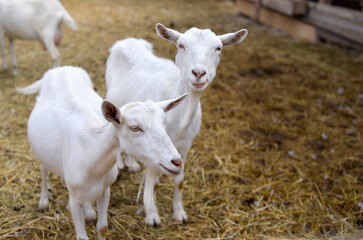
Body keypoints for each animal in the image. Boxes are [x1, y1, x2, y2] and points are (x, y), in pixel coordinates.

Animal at [104, 23, 247, 225]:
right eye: (181, 45)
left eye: (218, 48)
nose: (198, 73)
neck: (180, 118)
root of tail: (128, 40)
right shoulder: (156, 149)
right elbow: (155, 182)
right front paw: (152, 215)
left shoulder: (184, 146)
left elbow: (179, 180)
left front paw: (179, 213)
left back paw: (132, 164)